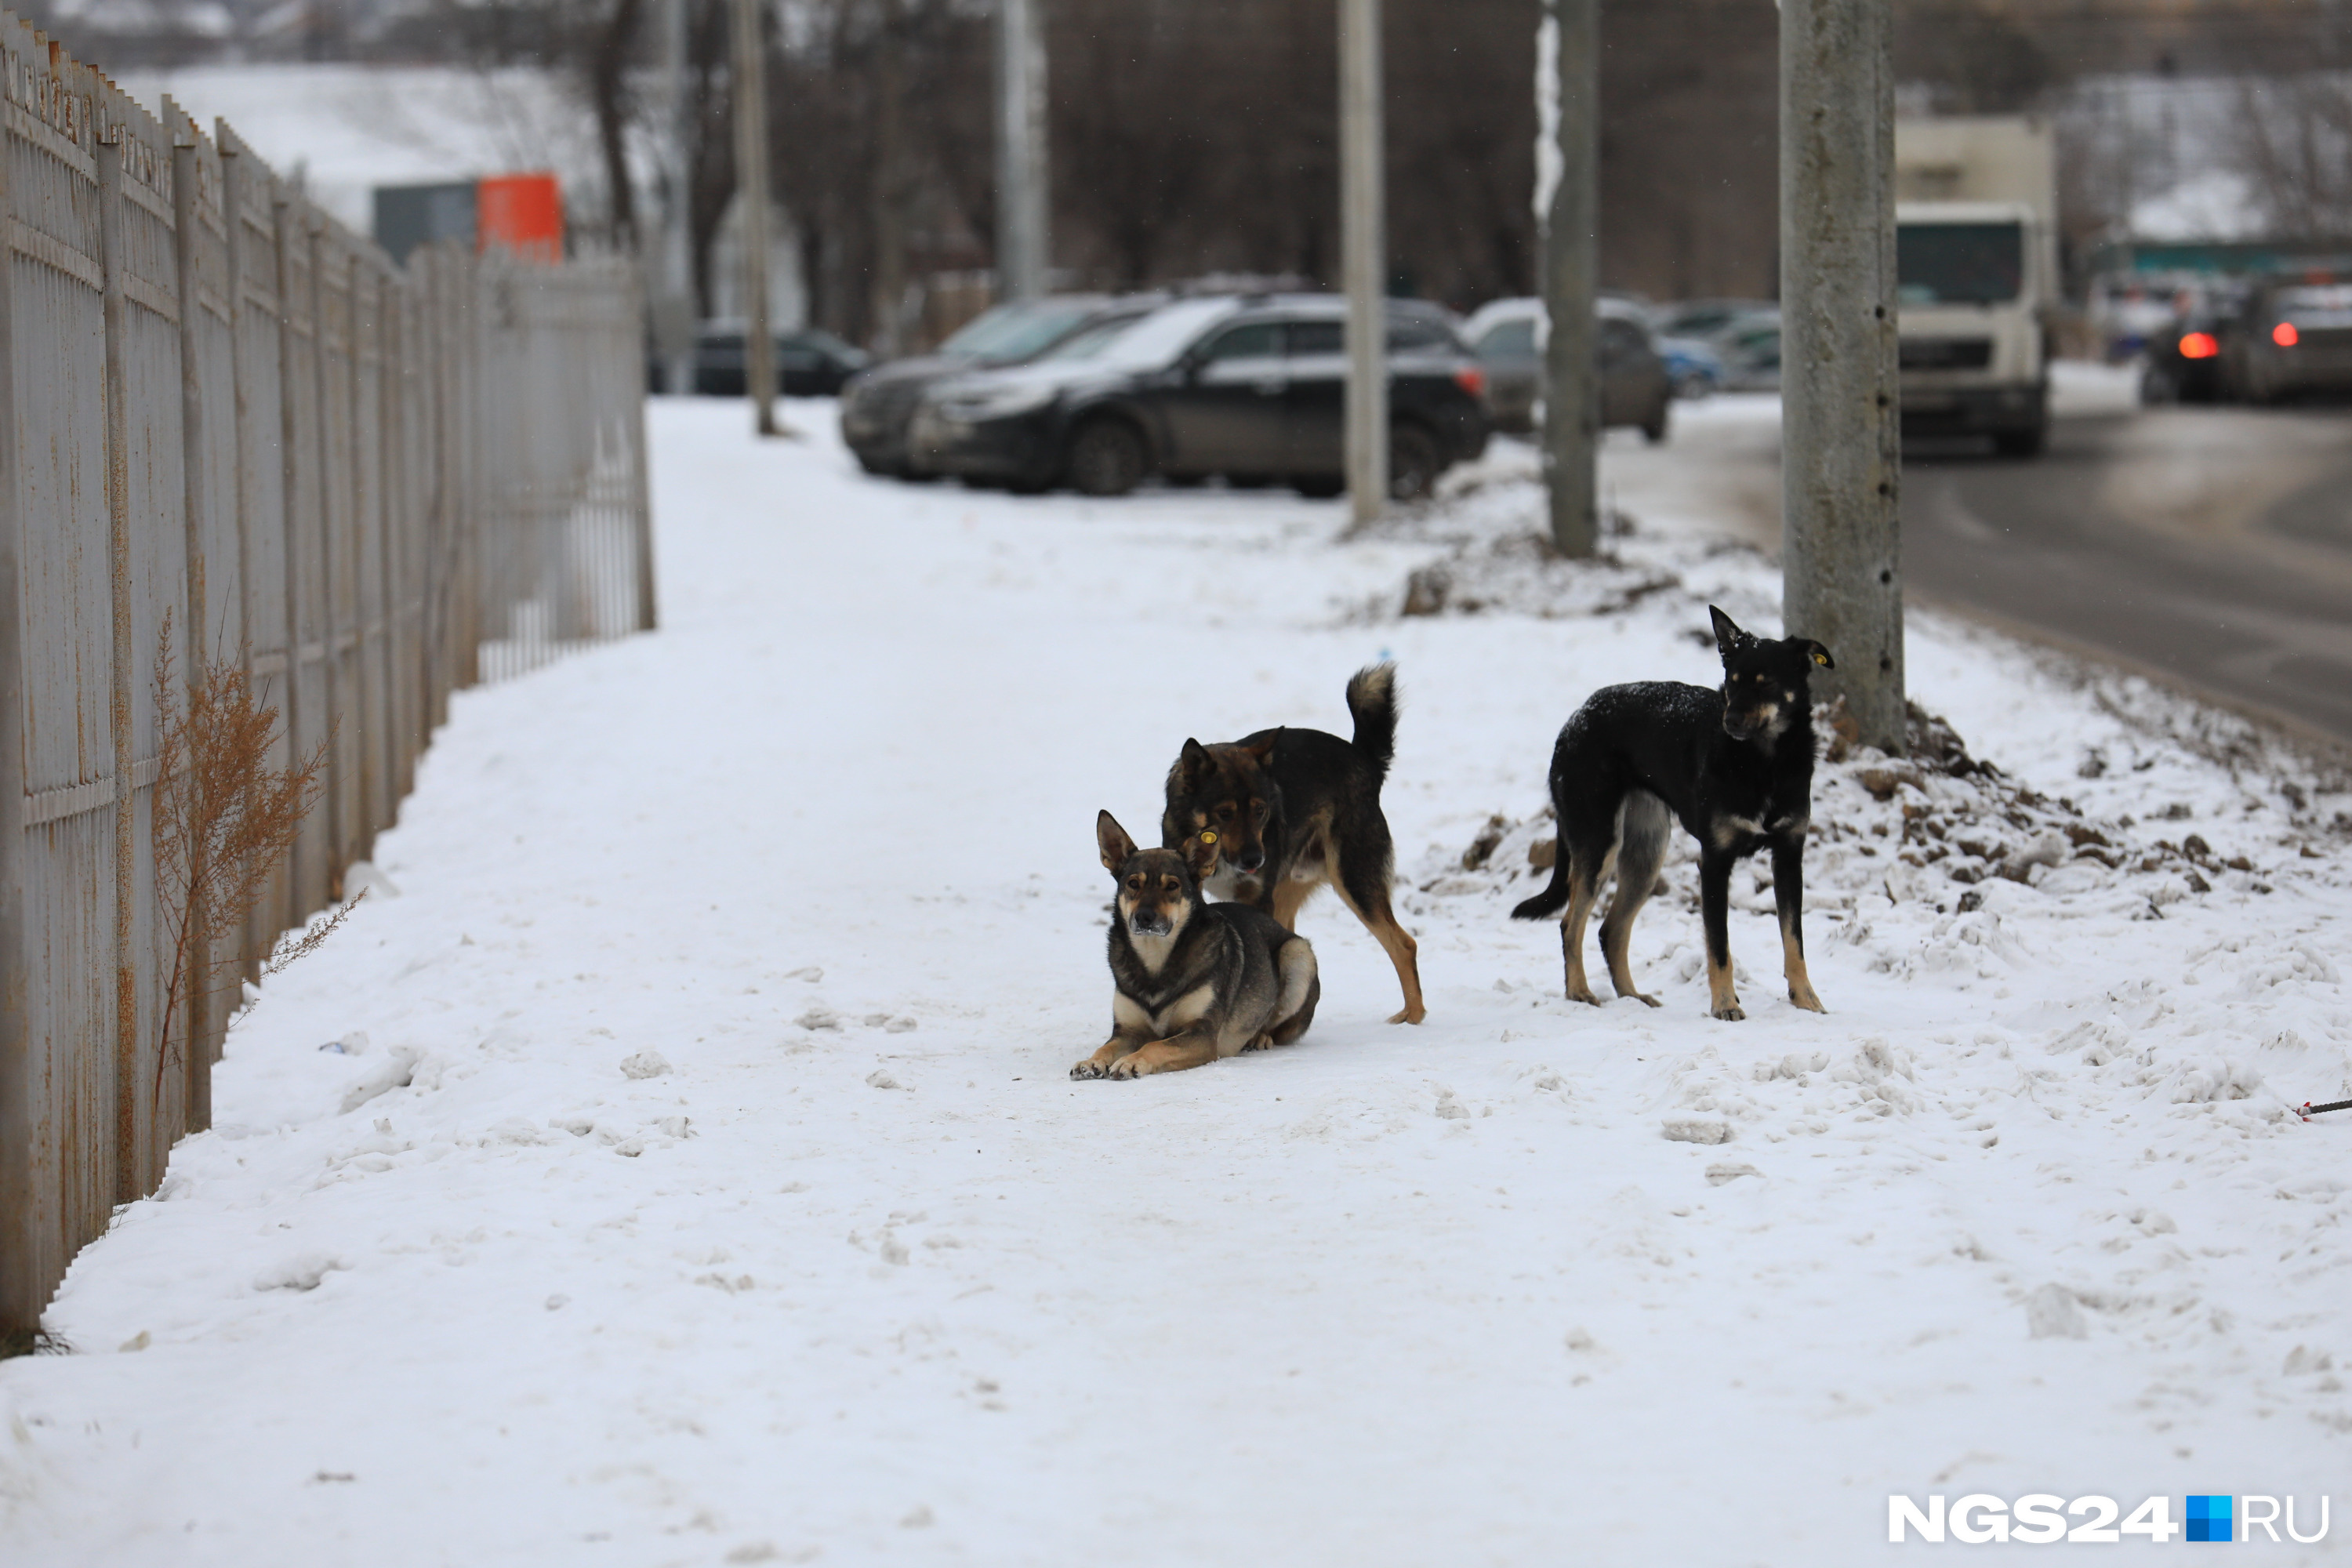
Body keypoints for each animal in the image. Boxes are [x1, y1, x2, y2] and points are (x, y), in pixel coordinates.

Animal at [1073, 808, 1317, 1081]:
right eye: (1133, 884)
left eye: (1172, 885)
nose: (1144, 917)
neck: (1155, 958)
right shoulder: (1127, 1031)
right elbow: (1106, 1047)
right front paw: (1091, 1062)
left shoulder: (1202, 1034)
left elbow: (1155, 1045)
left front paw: (1131, 1062)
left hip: (1297, 954)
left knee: (1277, 1025)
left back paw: (1259, 1037)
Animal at [1152, 667, 1421, 1025]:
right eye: (1225, 813)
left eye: (1261, 810)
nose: (1256, 860)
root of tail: (1364, 760)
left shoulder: (1258, 898)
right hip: (1290, 894)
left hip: (1354, 880)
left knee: (1404, 945)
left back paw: (1414, 1017)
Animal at [1505, 606, 1835, 1025]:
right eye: (1732, 682)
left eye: (1767, 684)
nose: (1730, 721)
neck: (1763, 763)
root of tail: (1574, 721)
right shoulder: (1714, 863)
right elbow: (1719, 947)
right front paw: (1725, 1006)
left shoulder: (1789, 857)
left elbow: (1794, 941)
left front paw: (1806, 1001)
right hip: (1600, 843)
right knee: (1570, 925)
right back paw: (1579, 992)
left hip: (1646, 855)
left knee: (1611, 931)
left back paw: (1633, 997)